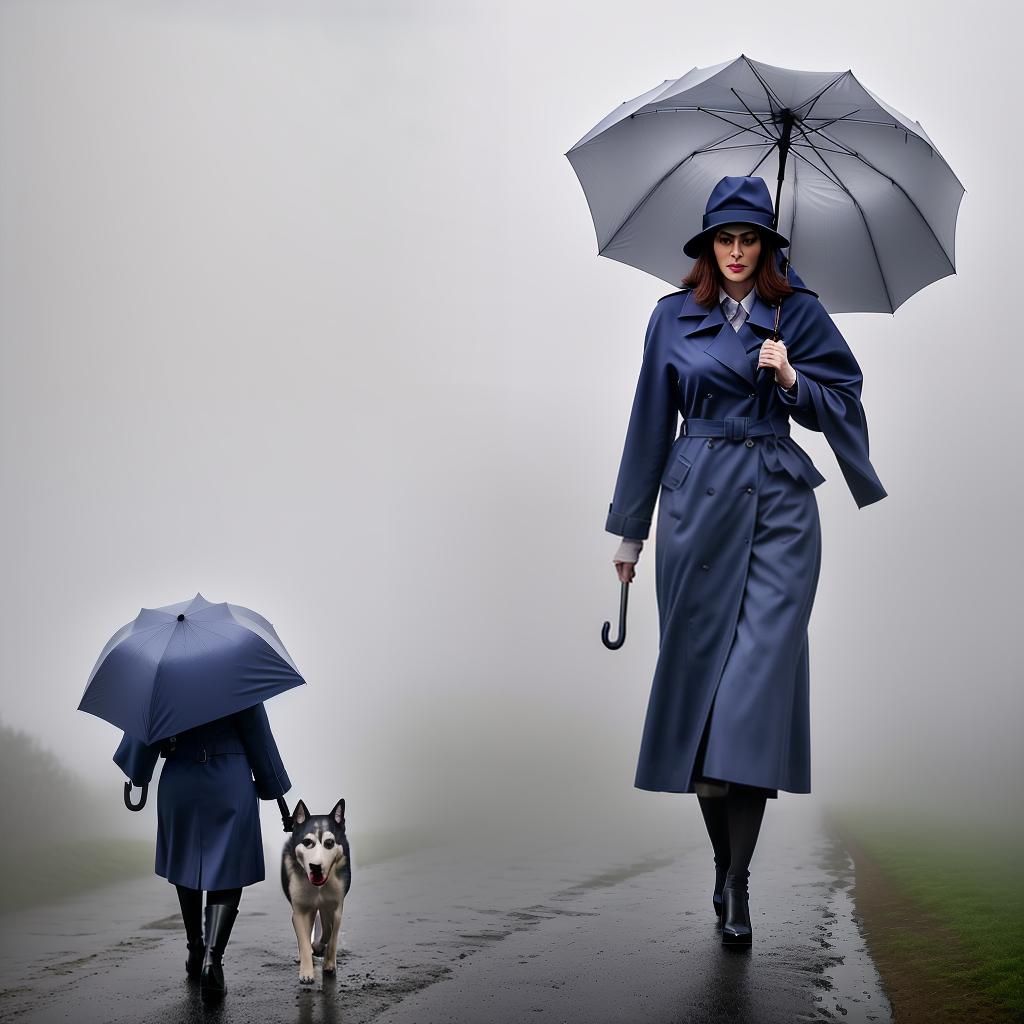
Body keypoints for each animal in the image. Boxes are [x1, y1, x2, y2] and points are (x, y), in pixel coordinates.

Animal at [280, 794, 352, 978]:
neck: (318, 887)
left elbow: (332, 935)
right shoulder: (300, 911)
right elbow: (304, 939)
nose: (315, 866)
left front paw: (328, 962)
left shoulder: (335, 907)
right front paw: (306, 972)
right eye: (307, 842)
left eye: (329, 842)